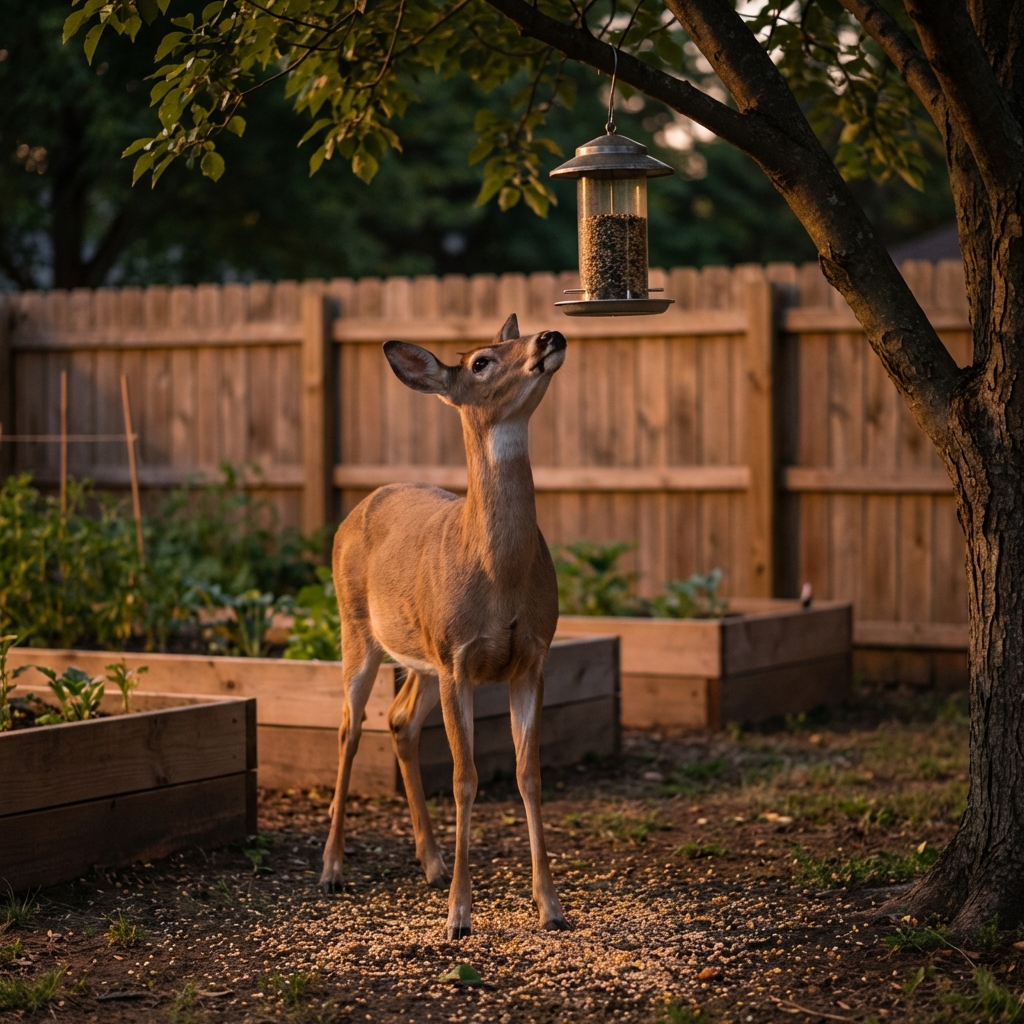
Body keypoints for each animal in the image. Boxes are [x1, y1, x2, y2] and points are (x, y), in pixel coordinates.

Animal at [319, 314, 570, 939]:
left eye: (520, 334)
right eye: (482, 360)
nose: (549, 336)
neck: (498, 573)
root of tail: (359, 506)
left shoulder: (532, 658)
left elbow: (529, 774)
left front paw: (551, 906)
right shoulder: (458, 657)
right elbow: (464, 777)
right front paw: (459, 916)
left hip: (422, 655)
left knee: (400, 720)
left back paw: (430, 862)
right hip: (356, 629)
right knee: (349, 726)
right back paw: (332, 868)